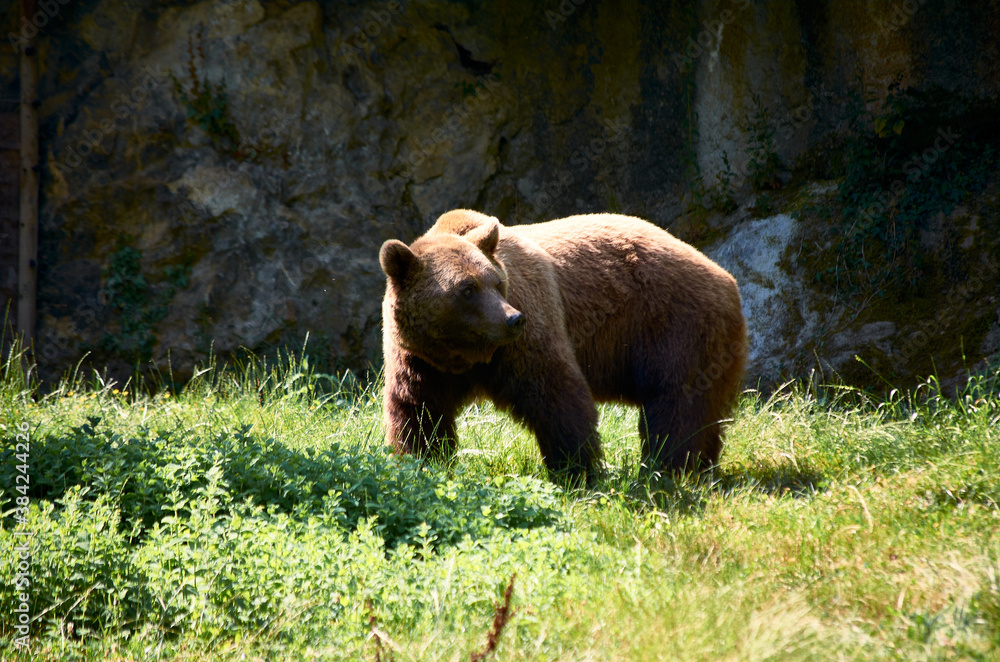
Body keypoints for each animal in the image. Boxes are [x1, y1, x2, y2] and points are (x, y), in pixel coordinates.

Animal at [379, 209, 747, 484]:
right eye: (466, 289)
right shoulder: (420, 360)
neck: (464, 354)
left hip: (675, 326)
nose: (513, 319)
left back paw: (670, 469)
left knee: (676, 404)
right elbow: (419, 412)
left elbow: (555, 395)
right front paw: (420, 463)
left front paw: (576, 470)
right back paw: (699, 467)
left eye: (497, 283)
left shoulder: (528, 332)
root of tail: (726, 277)